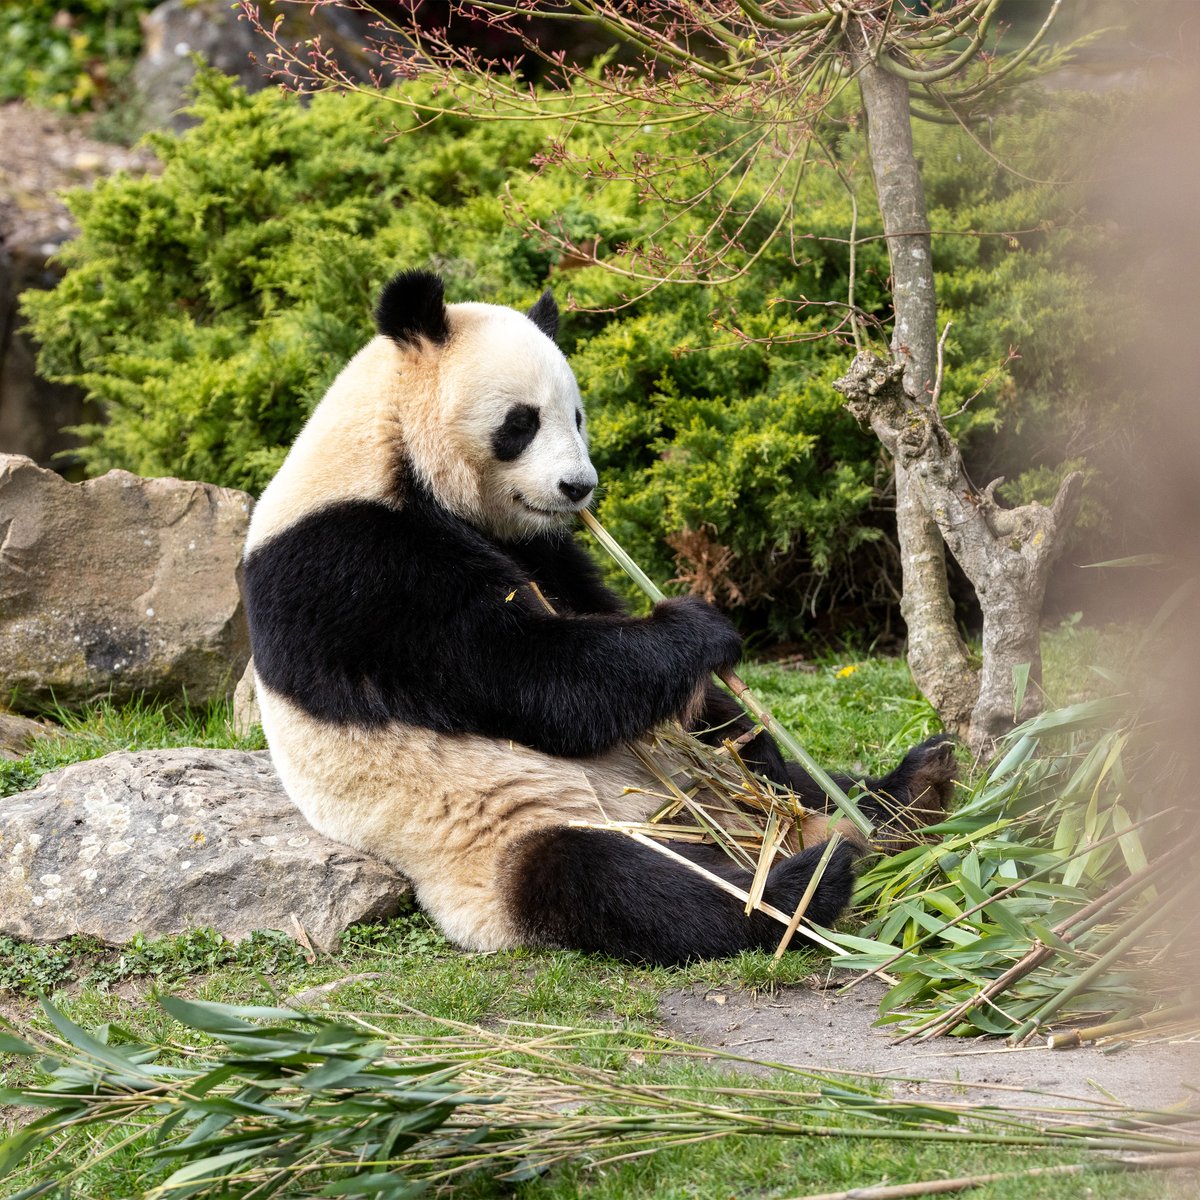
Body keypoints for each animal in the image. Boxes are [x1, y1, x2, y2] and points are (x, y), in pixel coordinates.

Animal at [243, 269, 955, 966]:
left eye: (578, 416)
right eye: (521, 423)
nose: (578, 488)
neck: (386, 446)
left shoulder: (541, 547)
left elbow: (642, 663)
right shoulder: (353, 566)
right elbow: (535, 676)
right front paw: (701, 627)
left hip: (717, 786)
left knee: (780, 770)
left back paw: (907, 794)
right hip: (504, 841)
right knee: (620, 881)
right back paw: (805, 885)